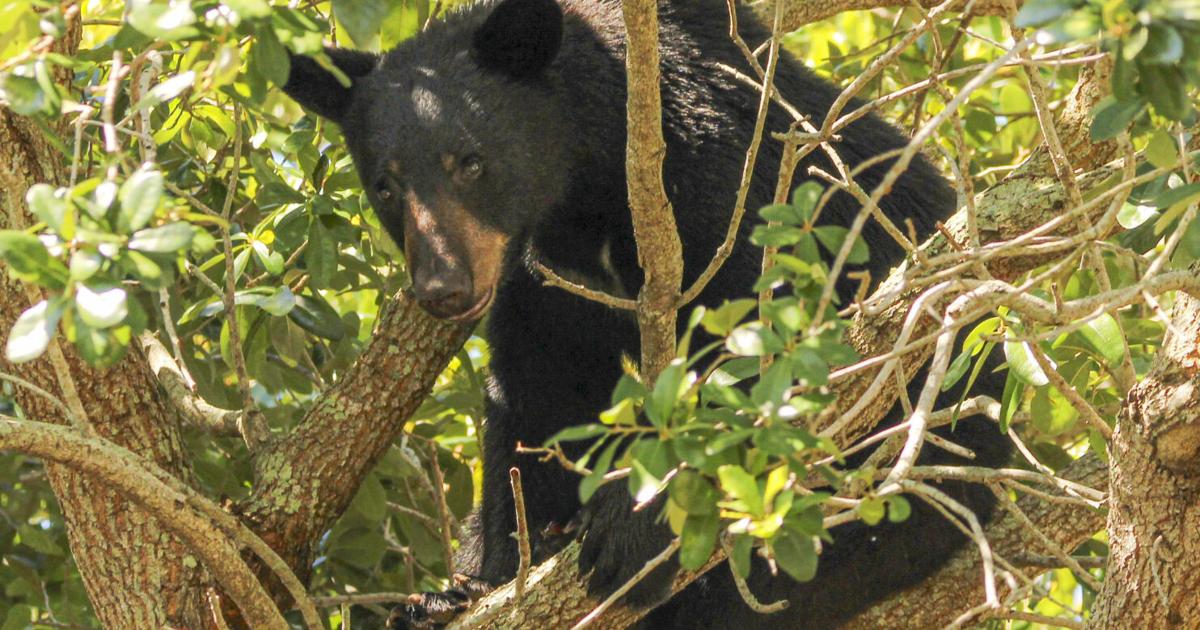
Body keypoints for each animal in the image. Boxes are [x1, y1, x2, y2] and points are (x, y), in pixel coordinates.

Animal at [280, 0, 1012, 627]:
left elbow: (777, 353)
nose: (444, 288)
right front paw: (481, 577)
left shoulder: (733, 193)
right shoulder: (546, 277)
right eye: (385, 185)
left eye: (471, 161)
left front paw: (633, 523)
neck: (593, 186)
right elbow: (537, 401)